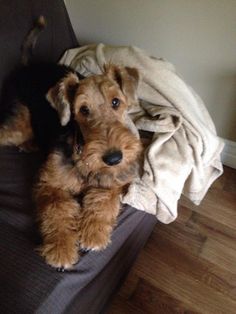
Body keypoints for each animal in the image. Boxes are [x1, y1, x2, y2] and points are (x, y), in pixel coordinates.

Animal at [0, 17, 142, 268]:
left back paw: (30, 146)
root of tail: (25, 67)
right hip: (17, 126)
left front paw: (93, 233)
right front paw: (61, 250)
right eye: (83, 110)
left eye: (116, 101)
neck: (82, 151)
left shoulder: (113, 180)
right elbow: (58, 208)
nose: (114, 158)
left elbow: (103, 199)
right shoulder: (50, 184)